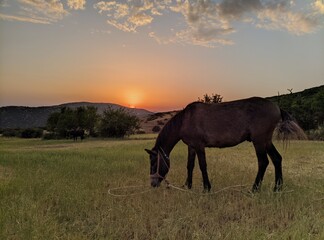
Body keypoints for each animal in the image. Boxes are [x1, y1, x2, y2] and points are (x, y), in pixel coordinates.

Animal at [146, 96, 306, 192]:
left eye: (153, 163)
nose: (153, 184)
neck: (185, 120)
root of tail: (277, 107)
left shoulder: (199, 146)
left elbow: (202, 166)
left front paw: (206, 188)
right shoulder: (191, 146)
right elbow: (190, 166)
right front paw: (188, 186)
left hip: (259, 141)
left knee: (263, 162)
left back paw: (254, 189)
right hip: (266, 141)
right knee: (277, 159)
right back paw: (277, 188)